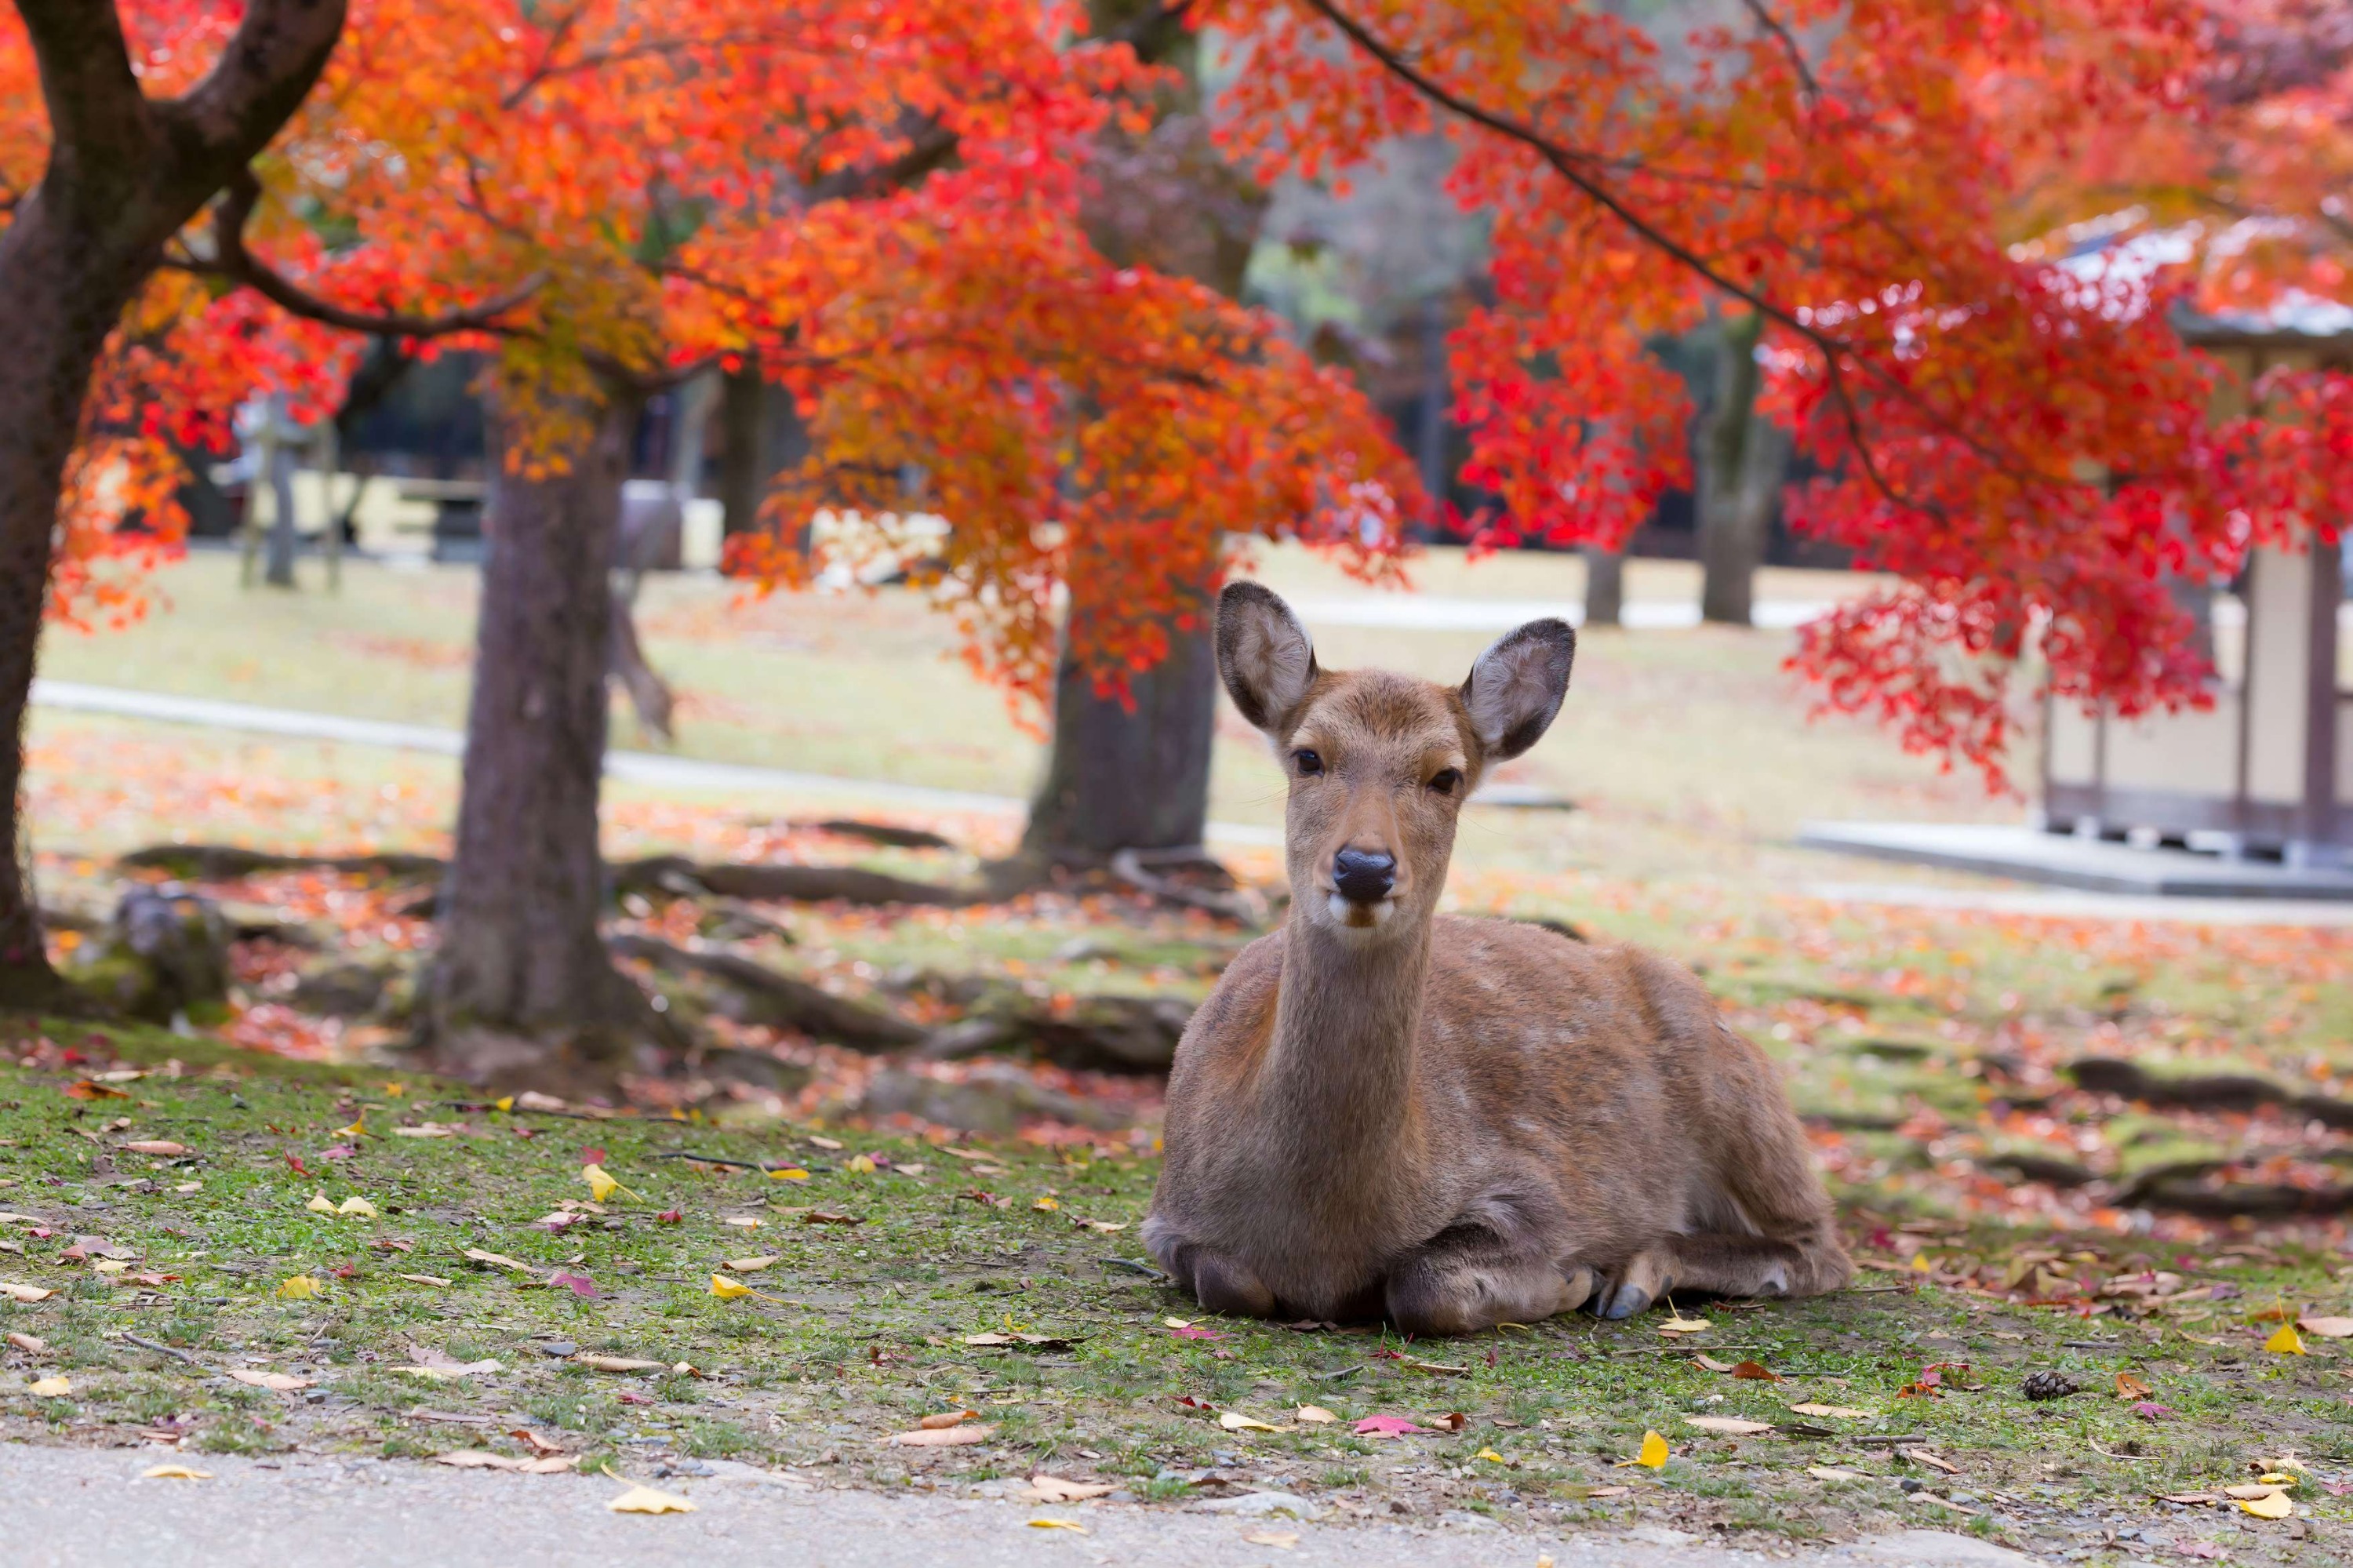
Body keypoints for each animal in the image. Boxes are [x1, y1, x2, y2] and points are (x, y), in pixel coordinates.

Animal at [1144, 579, 1854, 1327]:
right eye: (1308, 756)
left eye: (1446, 776)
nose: (1364, 867)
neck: (1320, 1239)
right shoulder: (1165, 1214)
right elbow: (1231, 1281)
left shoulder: (1542, 1187)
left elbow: (1423, 1283)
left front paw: (1570, 1277)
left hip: (1744, 1098)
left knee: (1822, 1245)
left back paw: (1633, 1274)